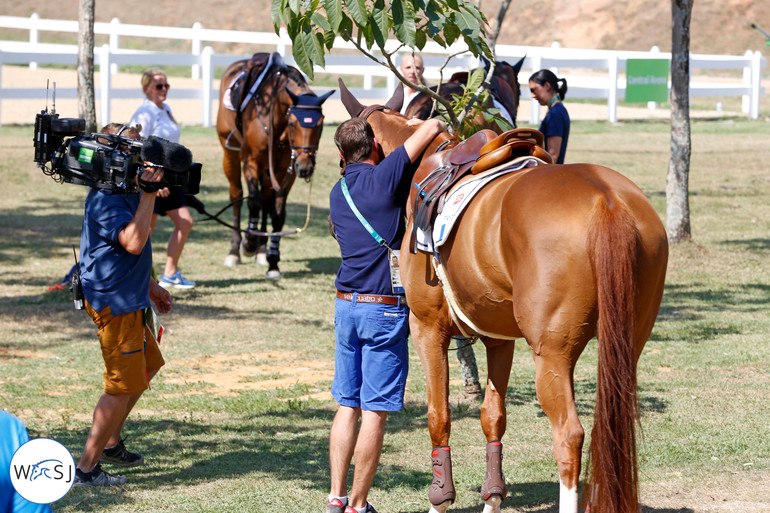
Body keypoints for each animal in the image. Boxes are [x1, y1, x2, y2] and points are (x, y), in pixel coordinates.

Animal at [218, 57, 334, 276]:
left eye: (321, 124)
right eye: (293, 123)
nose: (305, 167)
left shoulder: (285, 171)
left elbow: (277, 213)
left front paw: (273, 260)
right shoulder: (251, 162)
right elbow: (253, 202)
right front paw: (249, 243)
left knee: (266, 200)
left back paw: (262, 251)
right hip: (231, 155)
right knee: (237, 196)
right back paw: (235, 250)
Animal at [338, 80, 664, 512]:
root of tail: (606, 200)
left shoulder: (427, 330)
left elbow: (438, 416)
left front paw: (440, 498)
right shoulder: (499, 338)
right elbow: (493, 415)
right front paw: (493, 497)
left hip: (553, 354)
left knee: (570, 434)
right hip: (627, 345)